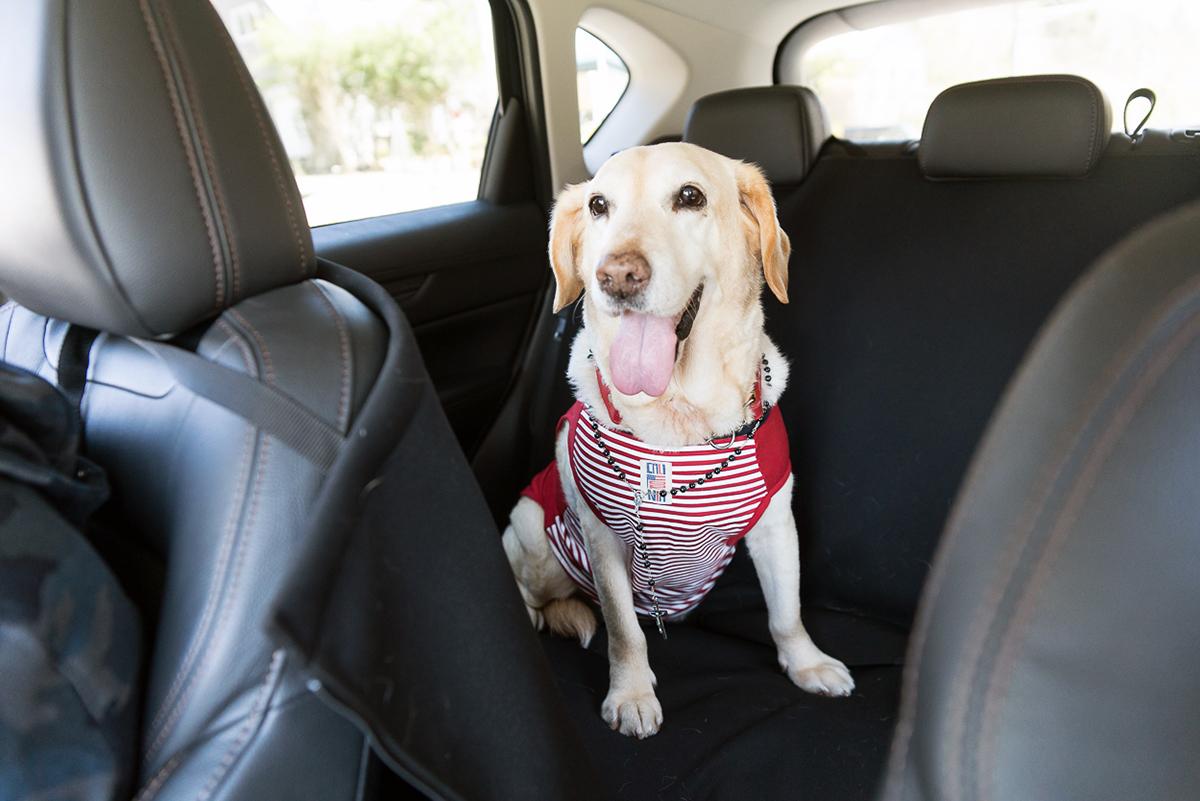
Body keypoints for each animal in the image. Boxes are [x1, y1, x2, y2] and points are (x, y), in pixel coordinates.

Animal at [501, 142, 849, 738]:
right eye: (598, 205)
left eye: (690, 196)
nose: (616, 275)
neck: (678, 421)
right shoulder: (602, 537)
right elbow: (624, 631)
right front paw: (632, 694)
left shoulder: (777, 526)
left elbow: (787, 612)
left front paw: (807, 664)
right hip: (530, 524)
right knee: (530, 595)